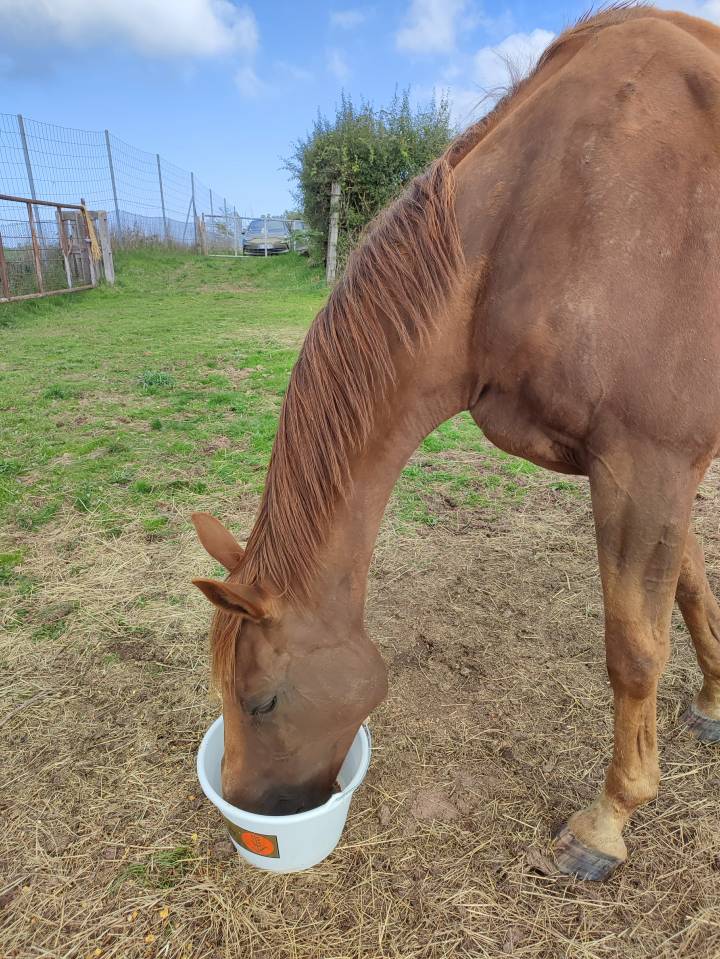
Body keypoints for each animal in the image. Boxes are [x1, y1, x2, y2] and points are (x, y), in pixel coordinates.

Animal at [191, 6, 720, 881]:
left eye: (262, 699)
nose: (247, 807)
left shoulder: (646, 465)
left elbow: (634, 649)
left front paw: (607, 822)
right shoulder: (668, 470)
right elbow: (691, 589)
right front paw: (713, 703)